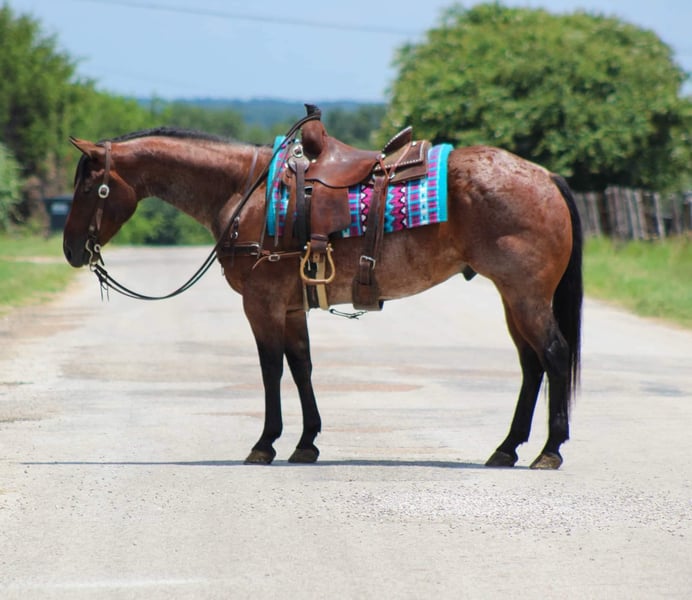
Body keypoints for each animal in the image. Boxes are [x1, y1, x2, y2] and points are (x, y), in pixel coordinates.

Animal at [63, 120, 582, 470]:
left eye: (90, 187)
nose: (70, 249)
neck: (247, 193)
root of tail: (545, 177)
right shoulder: (292, 307)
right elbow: (301, 367)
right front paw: (306, 442)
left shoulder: (262, 304)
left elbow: (271, 370)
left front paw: (265, 443)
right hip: (513, 298)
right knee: (532, 365)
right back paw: (507, 448)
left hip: (526, 296)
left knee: (553, 355)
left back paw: (549, 451)